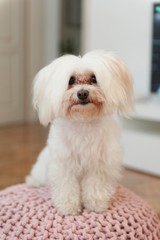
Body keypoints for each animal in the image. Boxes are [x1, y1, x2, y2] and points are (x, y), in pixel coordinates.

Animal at [26, 49, 133, 215]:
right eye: (71, 80)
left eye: (94, 78)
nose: (82, 93)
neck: (83, 122)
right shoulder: (64, 164)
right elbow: (67, 186)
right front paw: (68, 206)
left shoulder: (99, 164)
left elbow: (95, 184)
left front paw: (96, 203)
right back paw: (33, 182)